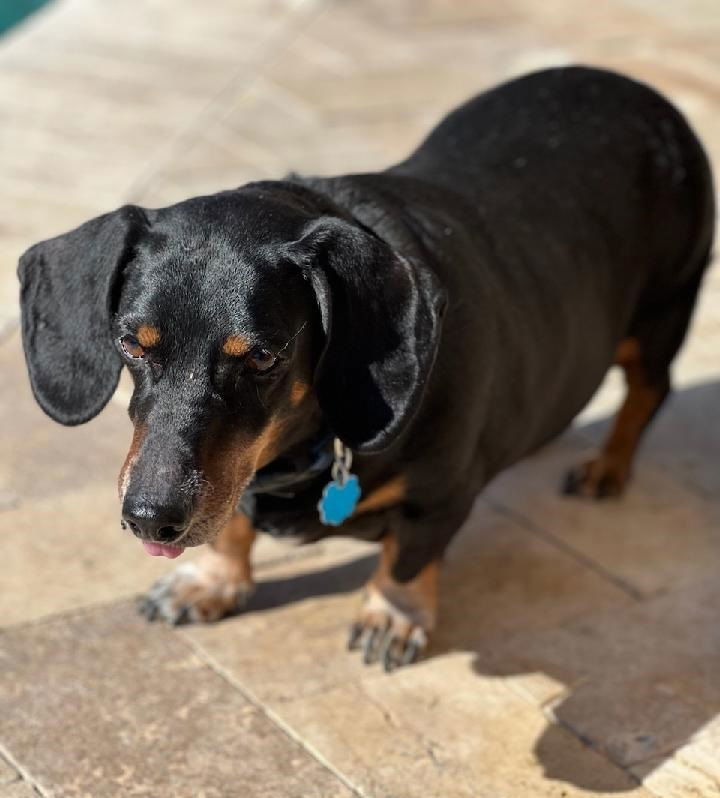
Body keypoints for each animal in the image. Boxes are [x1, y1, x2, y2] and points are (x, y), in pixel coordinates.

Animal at [18, 67, 716, 668]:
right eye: (131, 344)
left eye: (264, 357)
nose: (149, 518)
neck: (302, 447)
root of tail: (642, 93)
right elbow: (231, 525)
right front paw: (209, 581)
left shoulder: (440, 496)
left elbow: (408, 558)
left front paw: (392, 617)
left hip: (660, 313)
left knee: (650, 392)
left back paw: (608, 466)